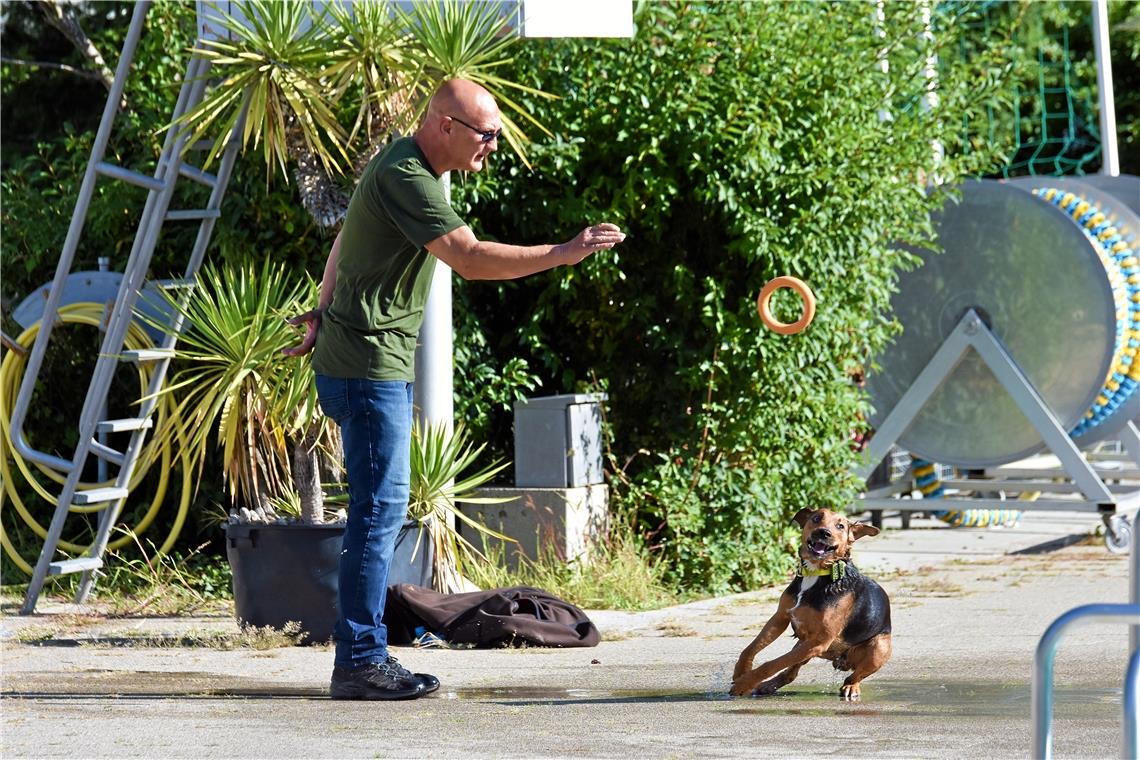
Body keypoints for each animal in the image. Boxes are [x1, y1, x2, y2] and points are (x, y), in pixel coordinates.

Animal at [729, 508, 889, 697]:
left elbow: (773, 663)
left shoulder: (819, 641)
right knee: (790, 673)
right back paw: (769, 685)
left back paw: (851, 687)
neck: (816, 573)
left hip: (879, 647)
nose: (823, 532)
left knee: (854, 676)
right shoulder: (780, 618)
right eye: (816, 518)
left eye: (840, 526)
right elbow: (752, 647)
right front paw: (741, 671)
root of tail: (841, 660)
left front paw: (744, 683)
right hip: (801, 645)